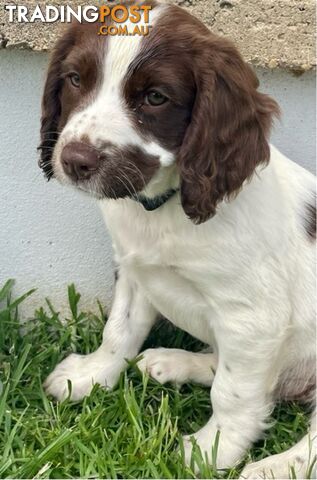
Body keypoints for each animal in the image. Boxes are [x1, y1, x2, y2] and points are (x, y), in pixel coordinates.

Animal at [39, 2, 314, 476]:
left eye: (155, 98)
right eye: (75, 79)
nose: (75, 161)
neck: (164, 208)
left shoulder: (253, 317)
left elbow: (234, 393)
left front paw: (213, 449)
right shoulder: (134, 268)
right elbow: (120, 330)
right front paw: (91, 375)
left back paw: (279, 466)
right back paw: (171, 362)